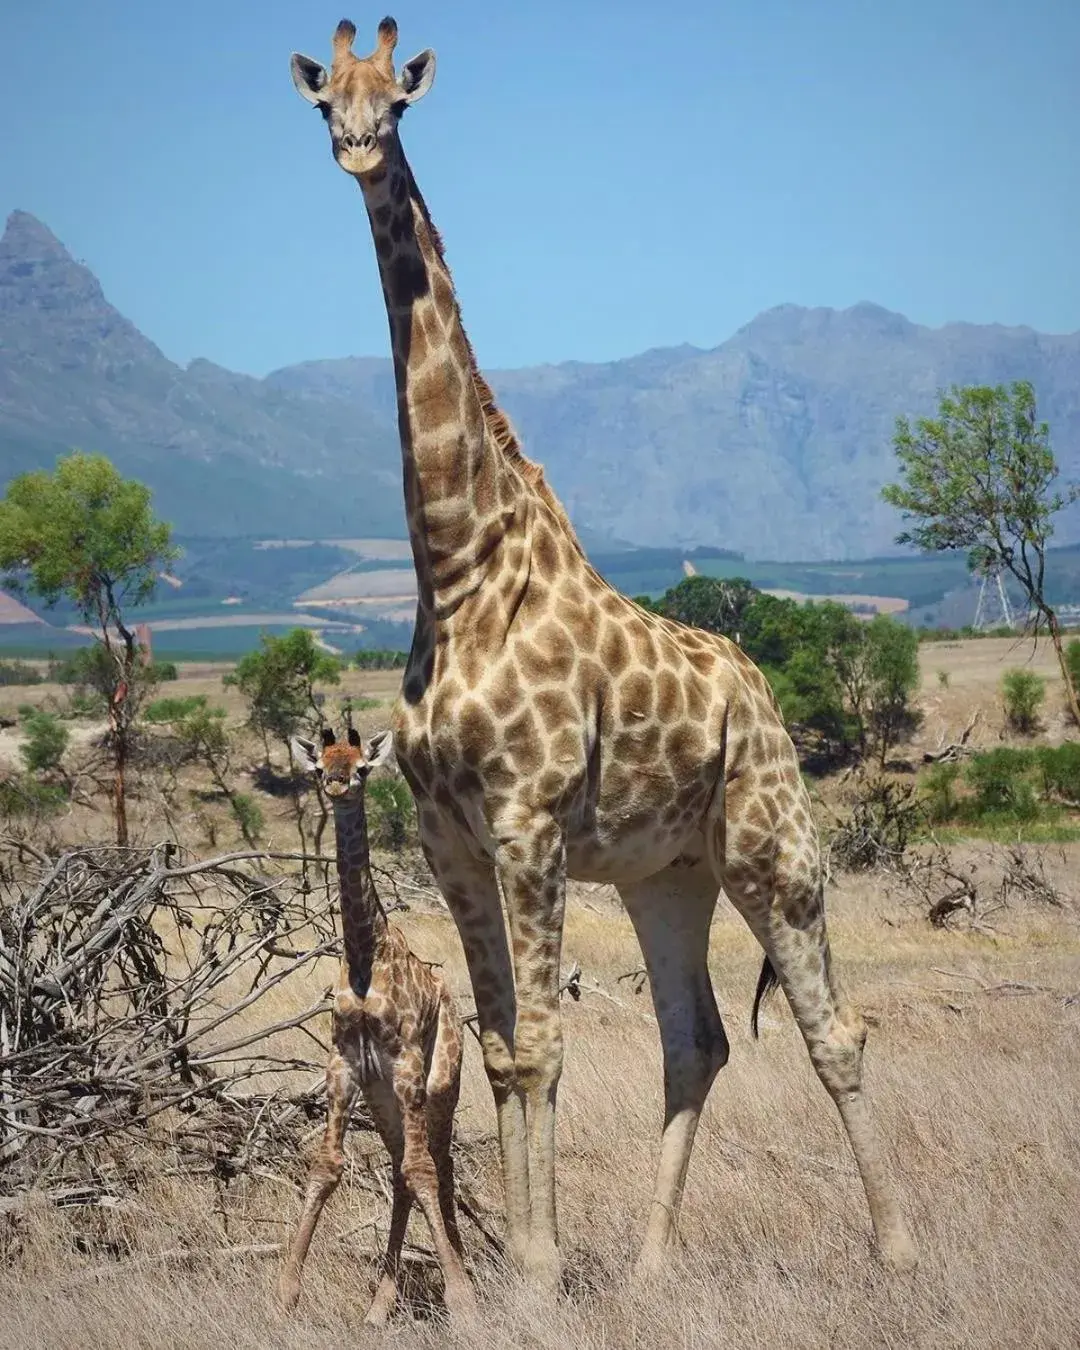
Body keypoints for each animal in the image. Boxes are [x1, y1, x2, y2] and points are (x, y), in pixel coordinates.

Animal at [276, 723, 469, 1323]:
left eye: (362, 767)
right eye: (320, 767)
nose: (338, 785)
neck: (365, 955)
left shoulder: (406, 1062)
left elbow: (423, 1170)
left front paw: (463, 1303)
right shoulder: (342, 1065)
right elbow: (325, 1167)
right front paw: (284, 1293)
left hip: (439, 1083)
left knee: (436, 1164)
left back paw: (465, 1278)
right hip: (383, 1098)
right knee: (401, 1168)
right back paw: (380, 1305)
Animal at [291, 15, 918, 1290]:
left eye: (403, 99)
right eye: (324, 95)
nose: (358, 148)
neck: (458, 569)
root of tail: (761, 689)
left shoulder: (527, 821)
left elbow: (540, 1045)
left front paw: (535, 1275)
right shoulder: (451, 839)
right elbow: (496, 1047)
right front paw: (535, 1266)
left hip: (772, 846)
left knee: (834, 1029)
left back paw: (898, 1246)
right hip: (664, 874)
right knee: (699, 1039)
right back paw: (649, 1264)